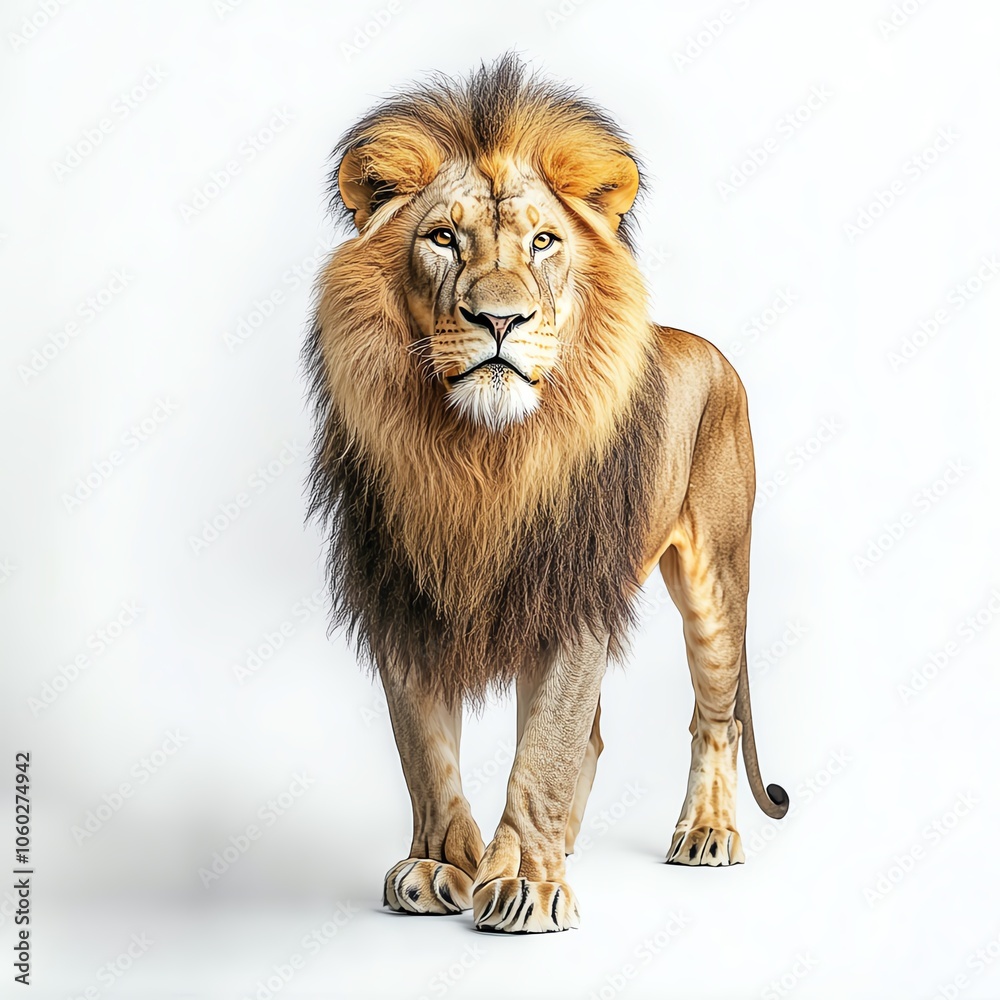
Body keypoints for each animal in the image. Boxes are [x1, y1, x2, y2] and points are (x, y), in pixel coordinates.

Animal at [306, 54, 788, 934]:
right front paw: (441, 864)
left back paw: (705, 832)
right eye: (443, 238)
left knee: (716, 714)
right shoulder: (400, 591)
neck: (479, 456)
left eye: (542, 241)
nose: (501, 320)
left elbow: (548, 745)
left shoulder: (572, 595)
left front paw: (527, 879)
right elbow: (425, 749)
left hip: (718, 582)